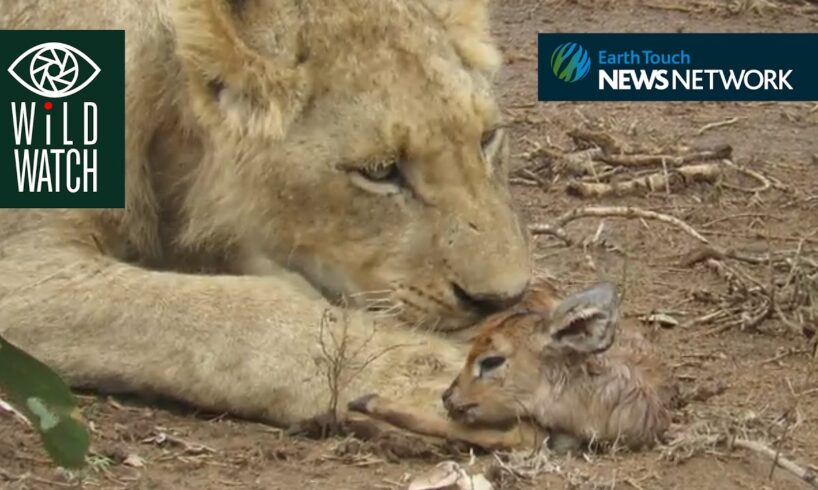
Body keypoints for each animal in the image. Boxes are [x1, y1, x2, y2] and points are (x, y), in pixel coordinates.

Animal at [0, 0, 528, 428]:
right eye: (379, 171)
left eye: (487, 139)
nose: (502, 298)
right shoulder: (24, 265)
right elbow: (234, 311)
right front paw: (431, 374)